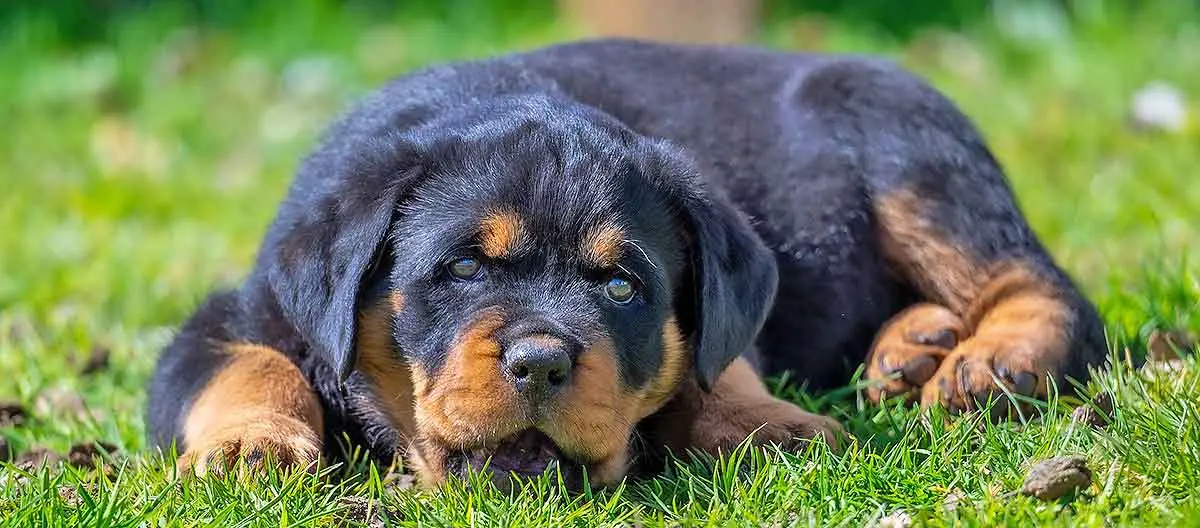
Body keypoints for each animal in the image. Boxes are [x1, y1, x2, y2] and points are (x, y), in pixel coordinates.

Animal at [147, 39, 1104, 489]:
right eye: (462, 271)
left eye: (620, 286)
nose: (540, 362)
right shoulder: (239, 313)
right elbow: (247, 367)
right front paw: (251, 447)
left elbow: (717, 368)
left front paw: (768, 424)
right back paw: (914, 348)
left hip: (904, 143)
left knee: (1042, 285)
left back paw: (990, 359)